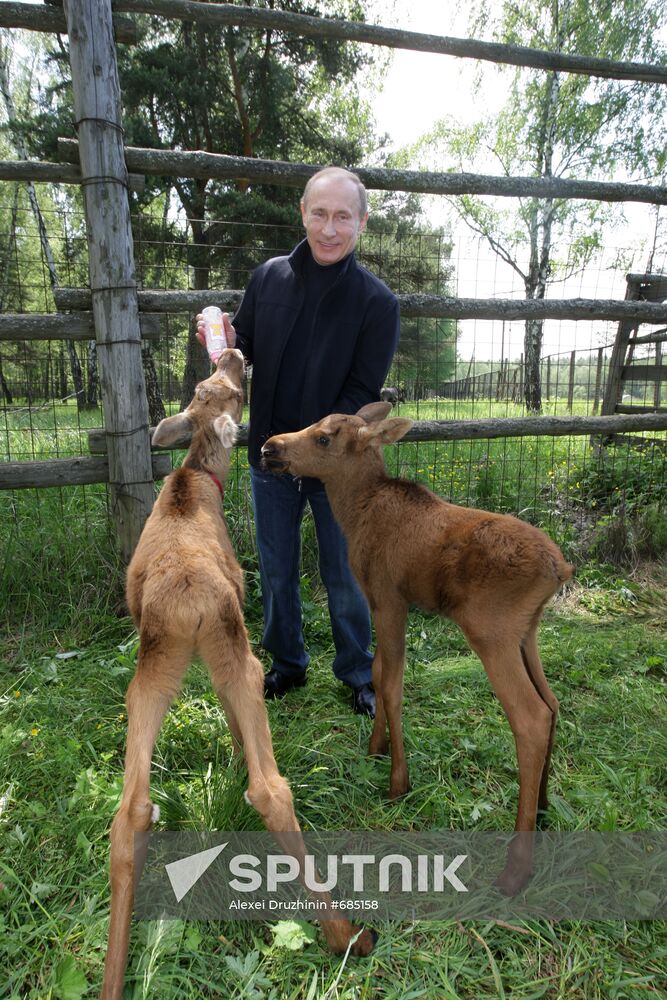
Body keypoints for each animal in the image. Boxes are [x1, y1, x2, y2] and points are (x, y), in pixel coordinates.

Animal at [101, 352, 374, 1000]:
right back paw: (345, 934)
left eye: (209, 386)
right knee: (270, 788)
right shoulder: (235, 643)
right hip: (235, 649)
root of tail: (186, 601)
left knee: (129, 810)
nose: (230, 352)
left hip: (151, 668)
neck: (193, 482)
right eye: (227, 389)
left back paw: (113, 975)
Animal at [262, 402, 576, 896]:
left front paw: (398, 783)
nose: (267, 447)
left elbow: (391, 685)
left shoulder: (390, 598)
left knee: (531, 717)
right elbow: (375, 675)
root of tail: (560, 568)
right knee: (553, 702)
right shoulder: (379, 603)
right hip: (528, 631)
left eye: (324, 437)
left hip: (492, 631)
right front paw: (374, 749)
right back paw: (542, 807)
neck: (355, 512)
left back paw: (516, 867)